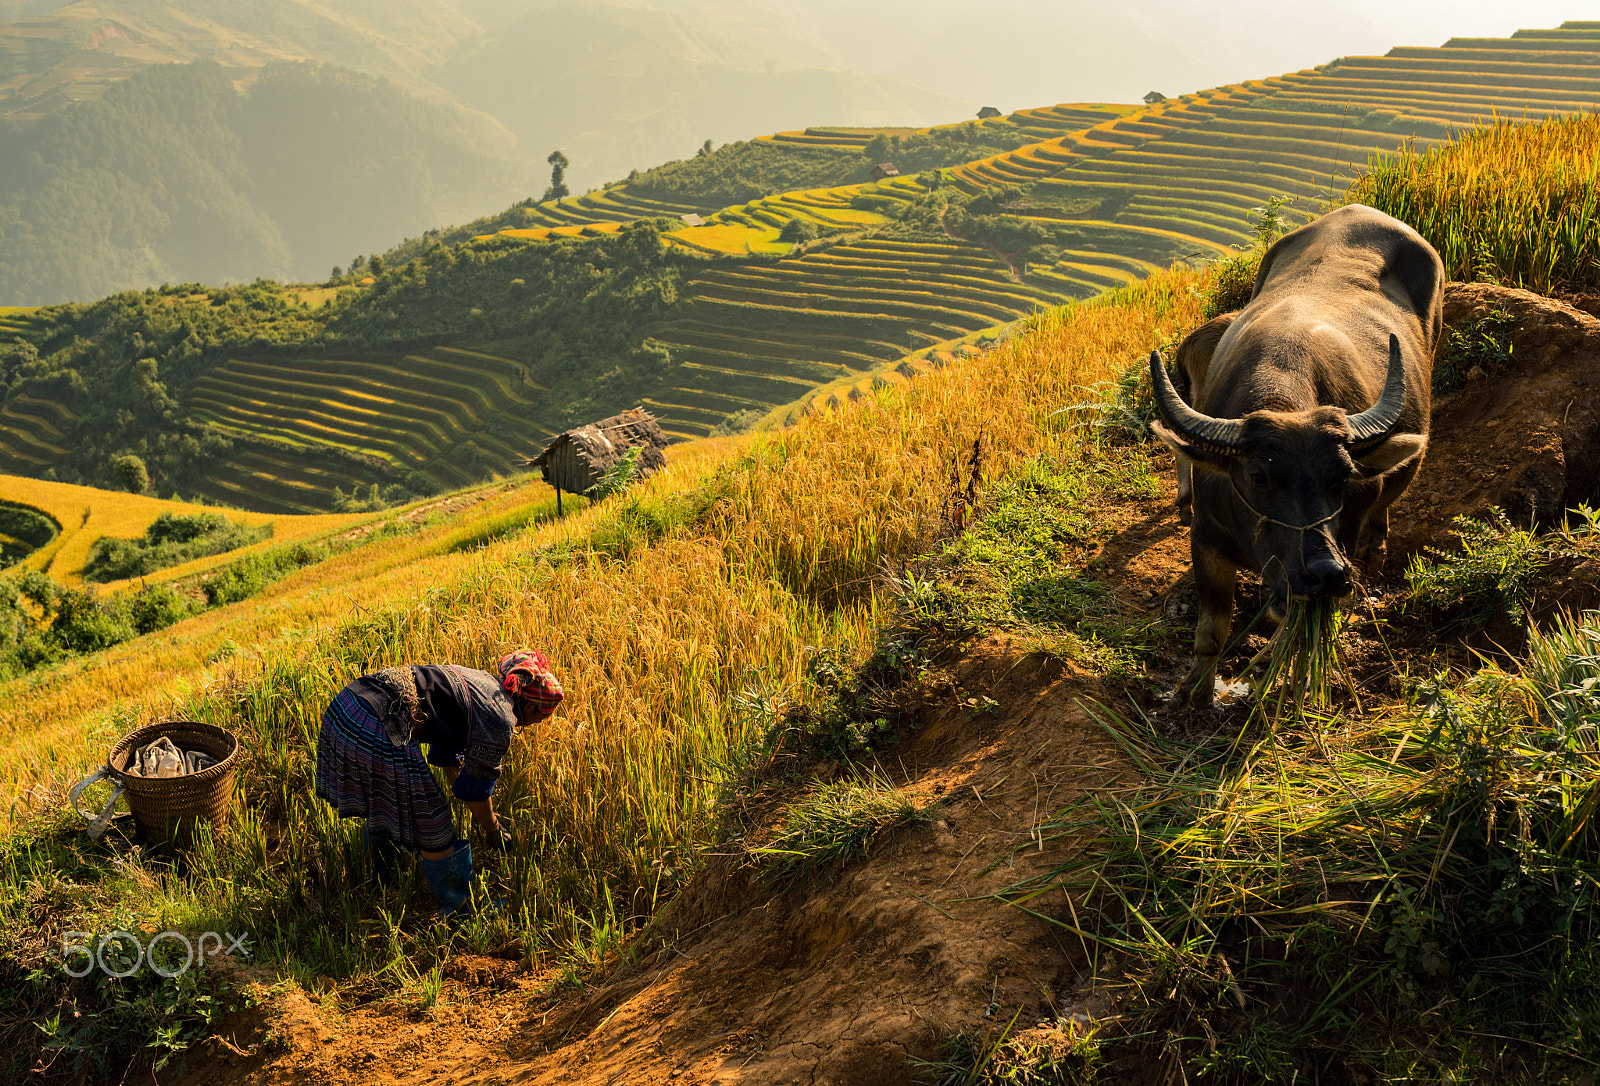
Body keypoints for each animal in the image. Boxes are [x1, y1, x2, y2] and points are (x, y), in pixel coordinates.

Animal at [1152, 203, 1440, 703]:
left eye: (1342, 477)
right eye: (1259, 477)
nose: (1325, 573)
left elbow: (1294, 627)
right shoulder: (1206, 540)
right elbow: (1212, 631)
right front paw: (1196, 693)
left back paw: (1377, 547)